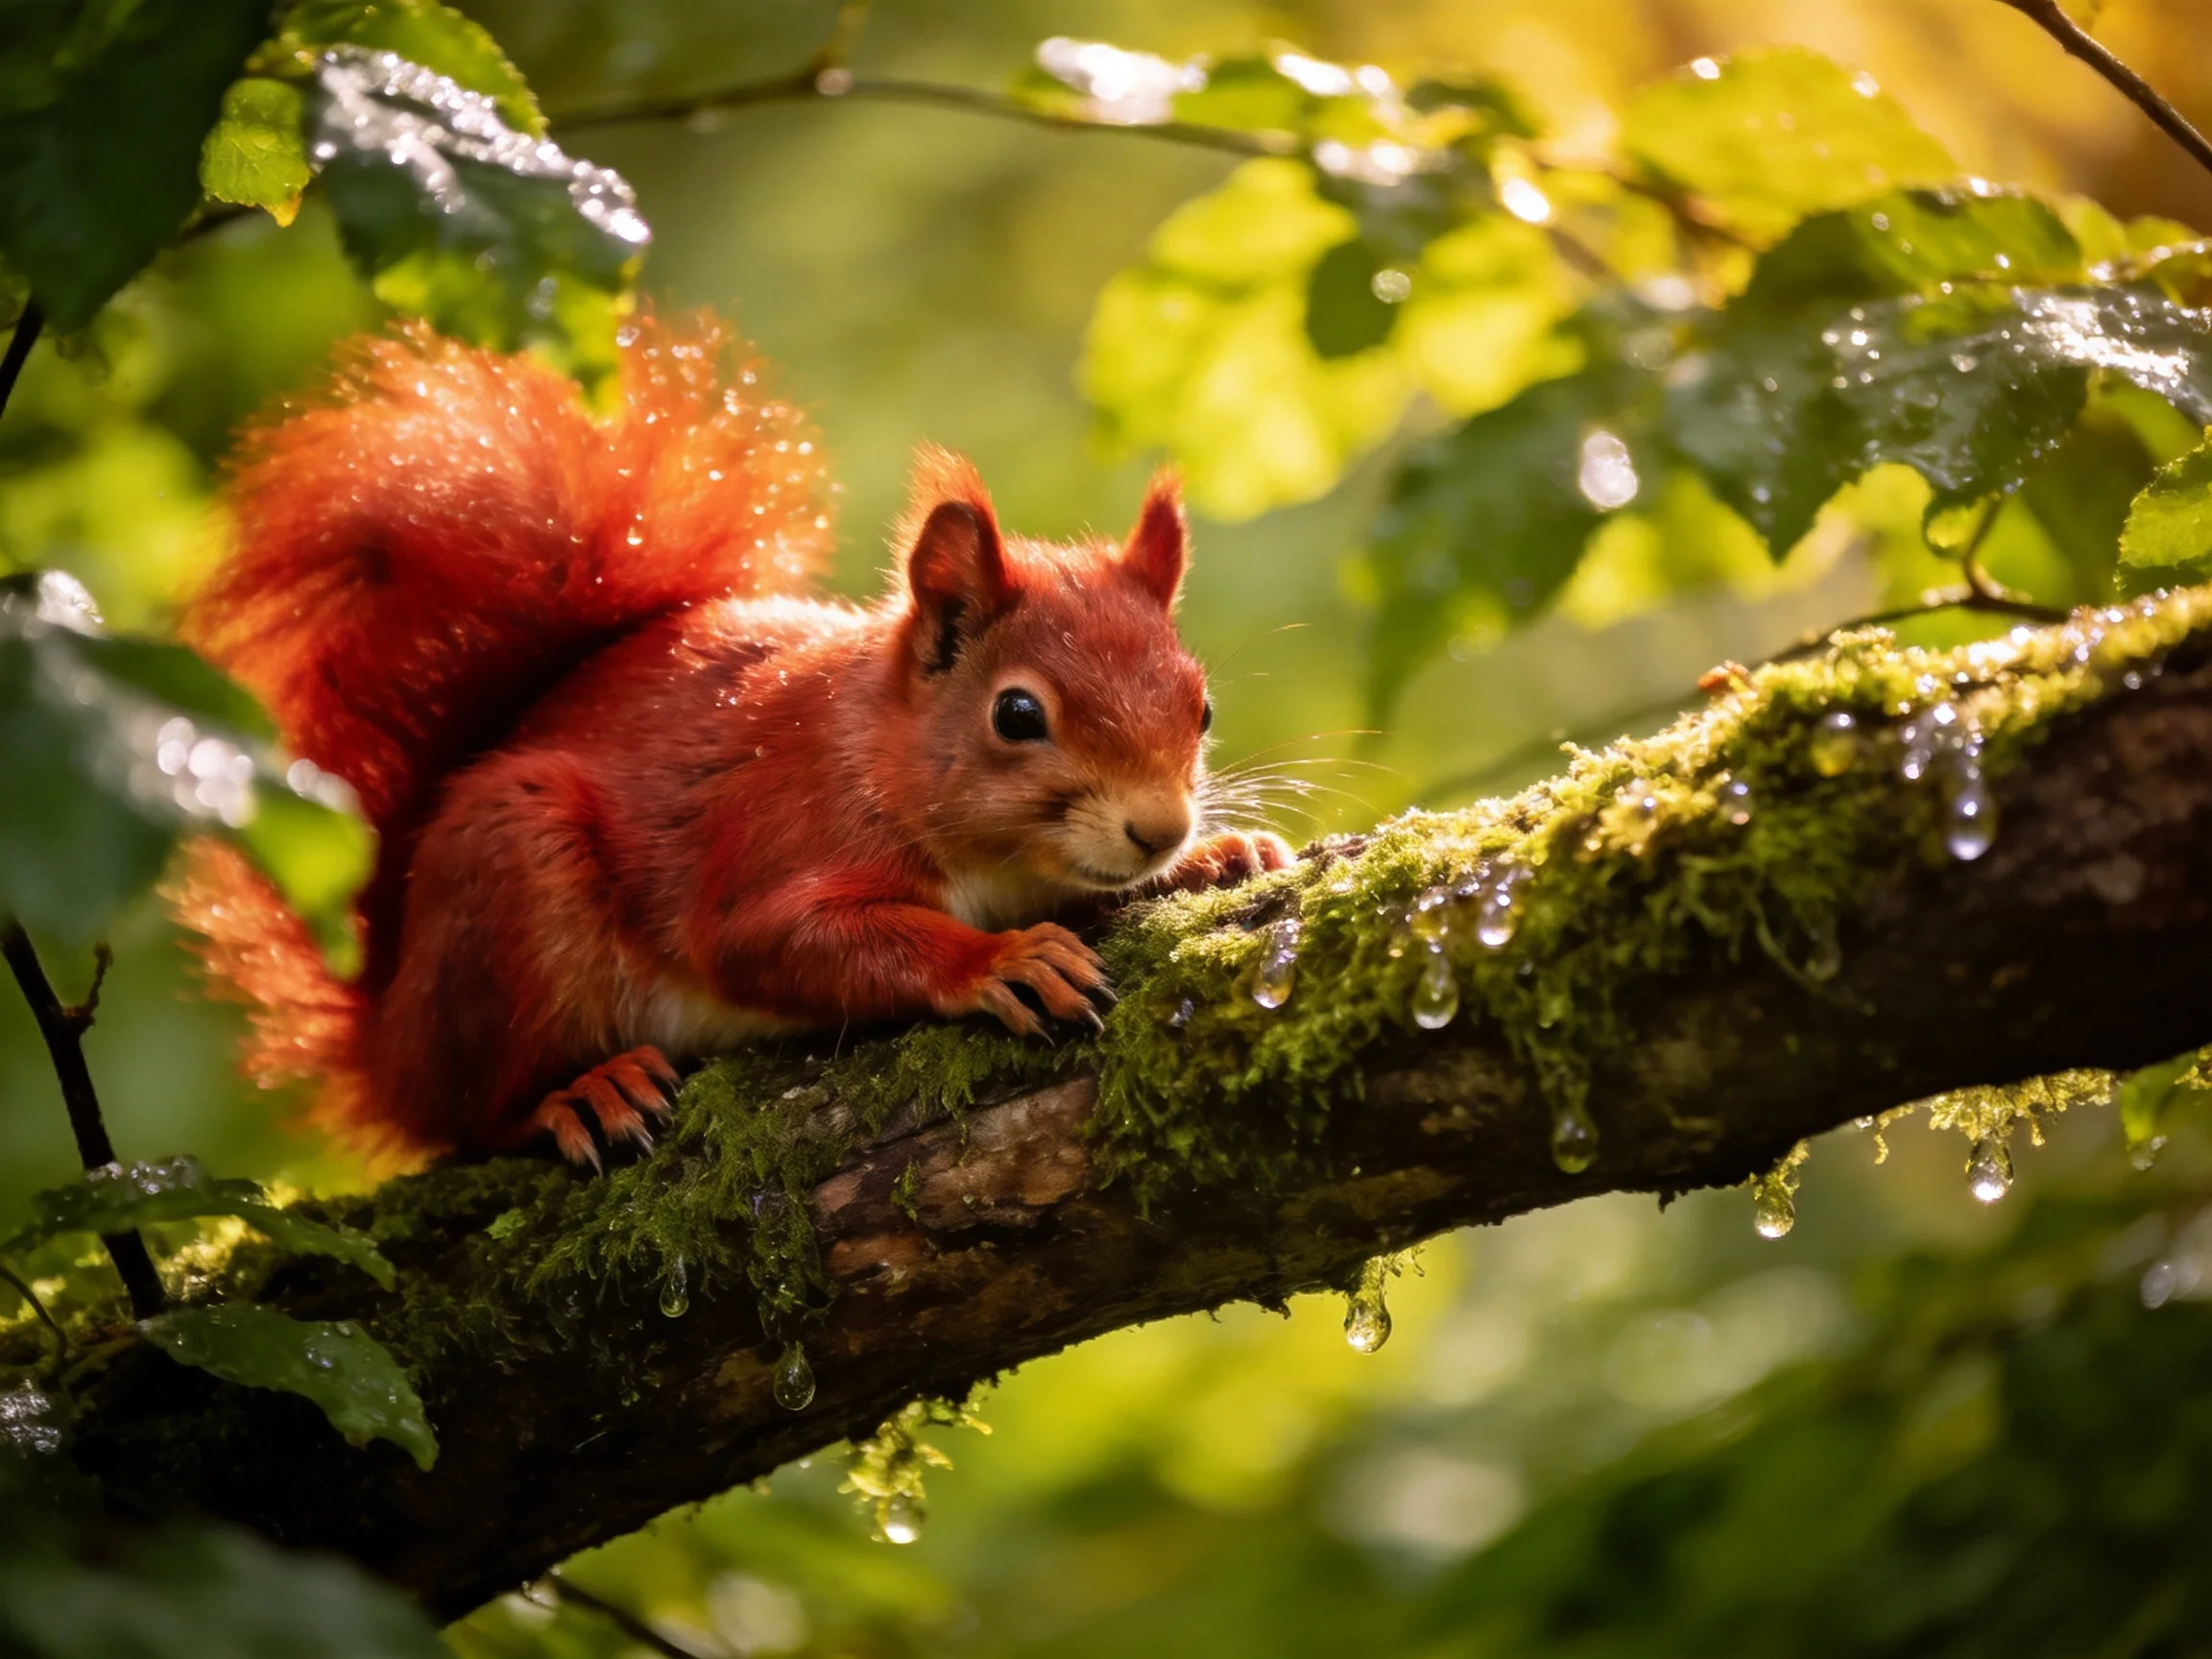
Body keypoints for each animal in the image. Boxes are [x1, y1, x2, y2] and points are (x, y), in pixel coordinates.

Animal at [171, 312, 1292, 1169]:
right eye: (1018, 716)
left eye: (1201, 709)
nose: (1160, 829)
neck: (878, 753)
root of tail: (387, 1027)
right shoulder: (777, 840)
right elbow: (784, 942)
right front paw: (1001, 959)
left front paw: (1222, 856)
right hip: (510, 877)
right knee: (470, 1115)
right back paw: (576, 1095)